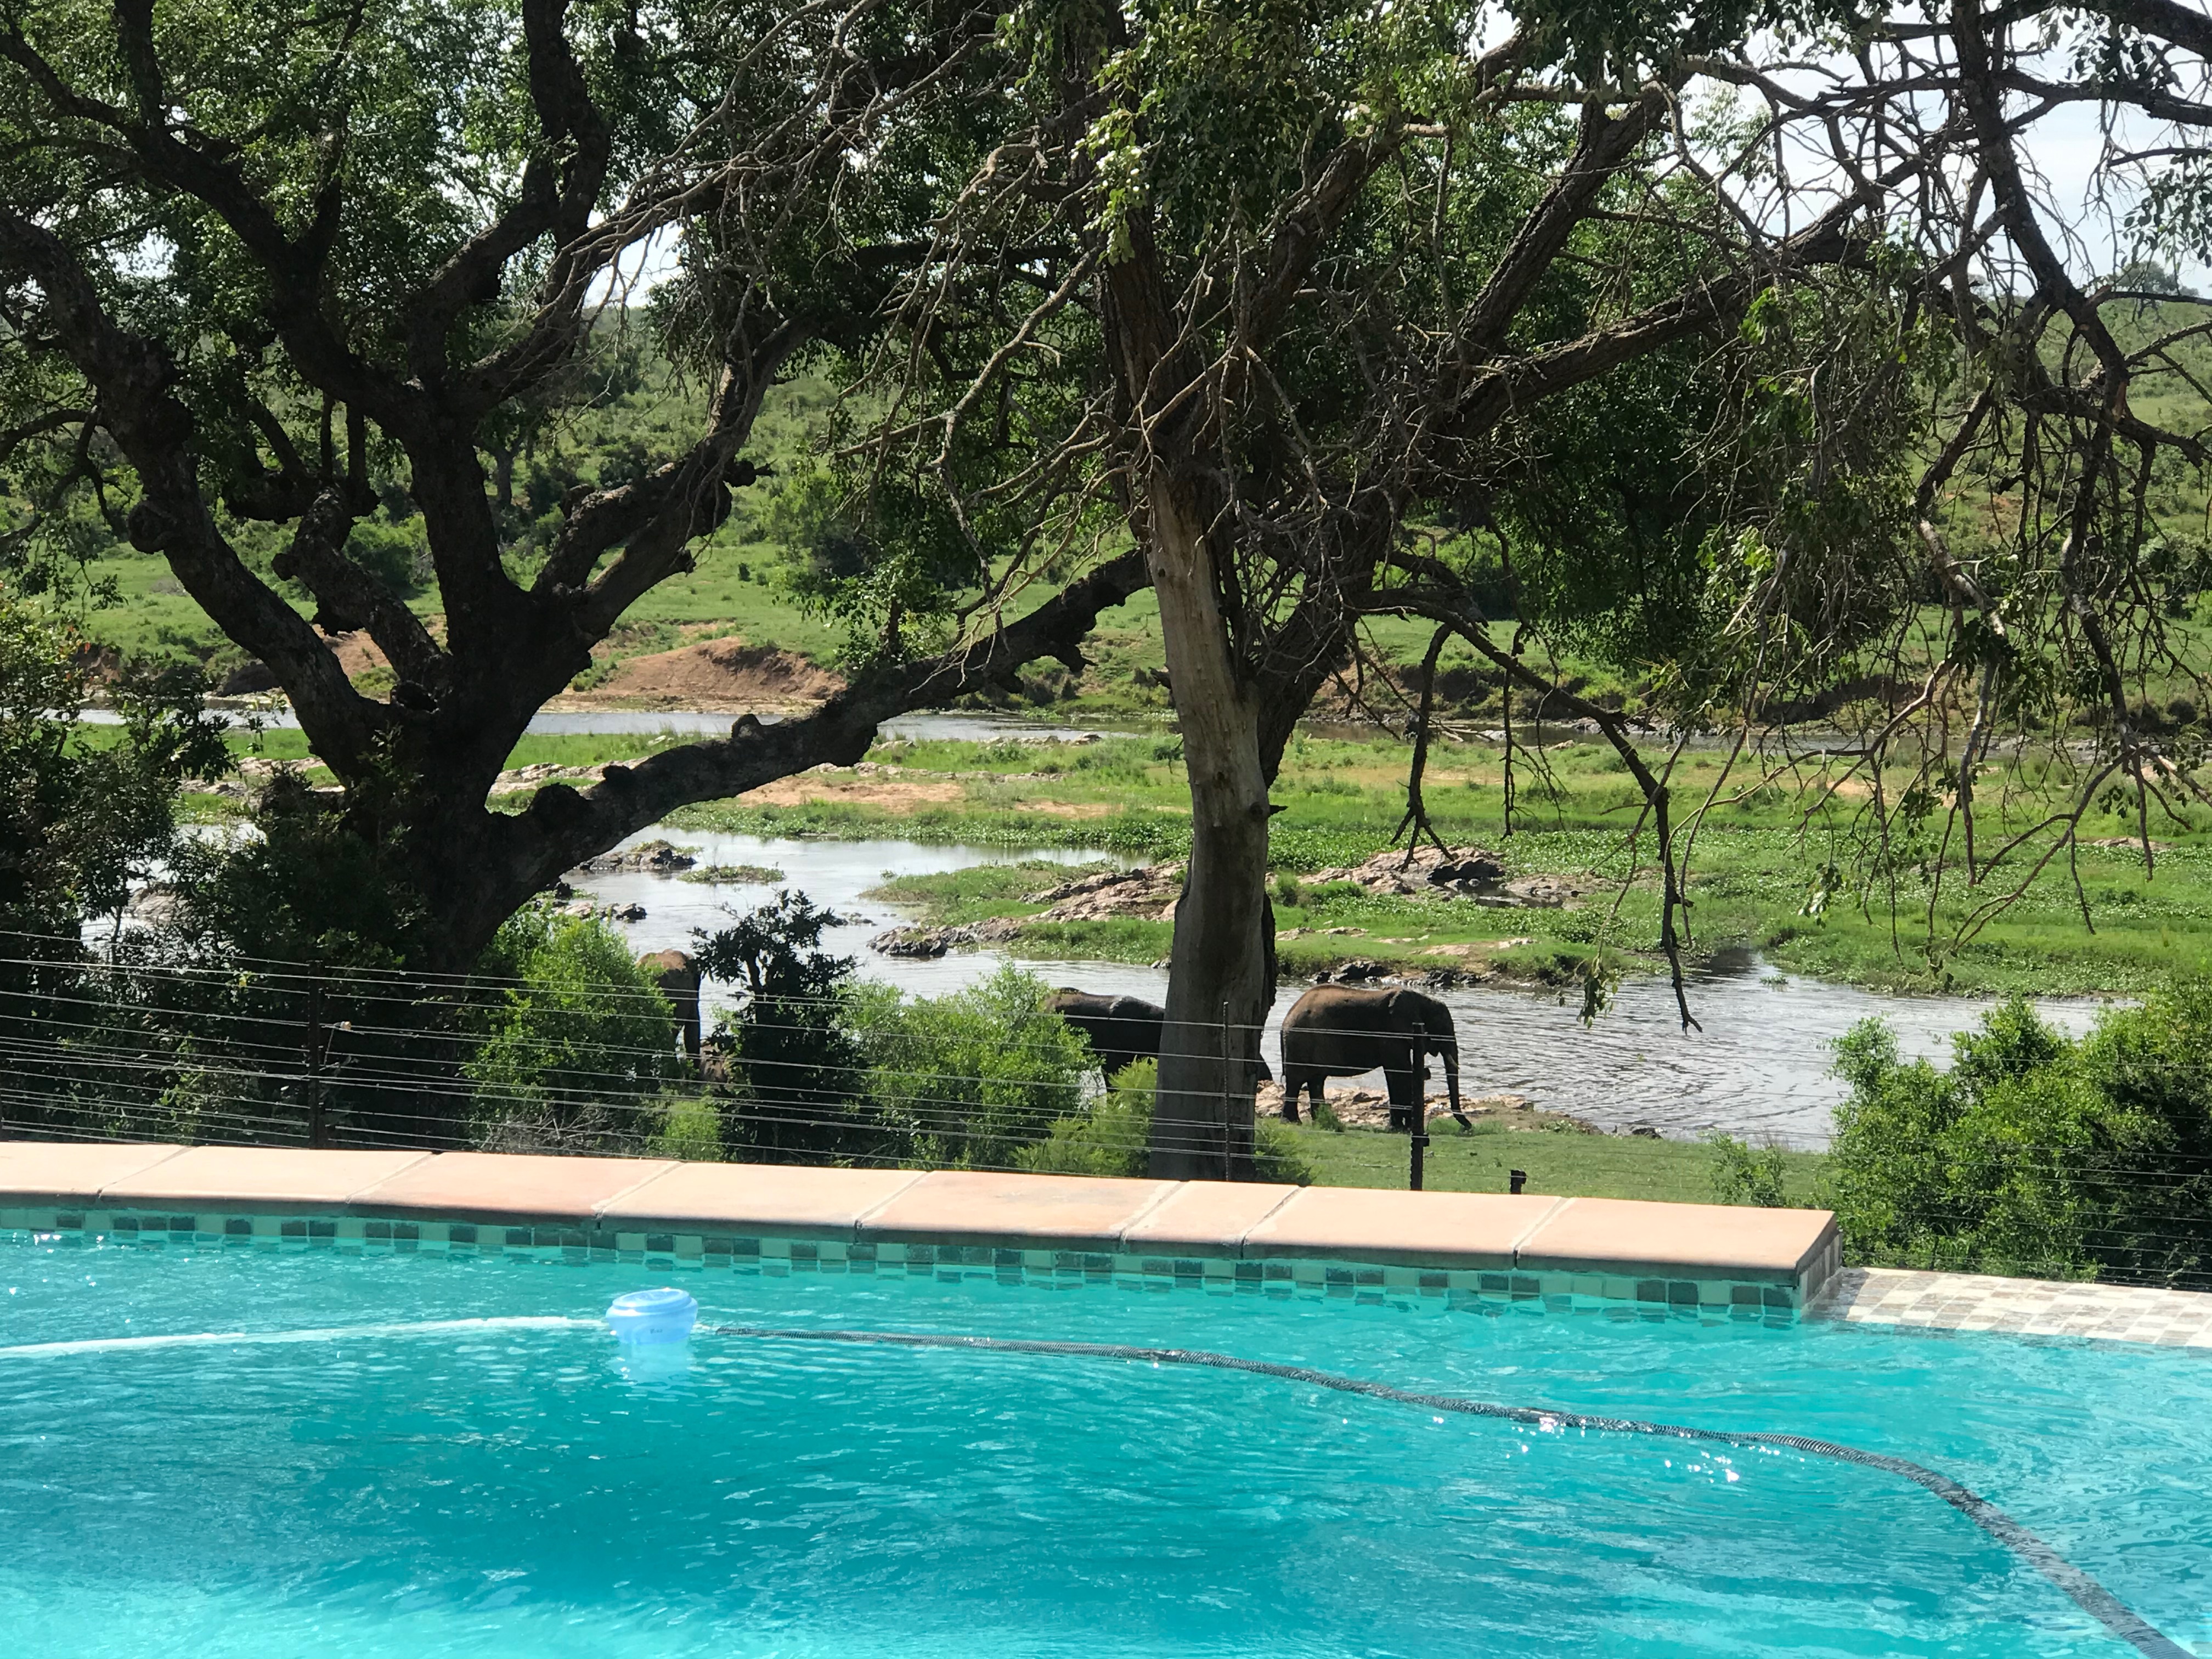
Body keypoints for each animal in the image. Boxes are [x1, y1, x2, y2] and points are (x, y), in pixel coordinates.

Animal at [1278, 984, 1464, 1131]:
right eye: (1442, 1026)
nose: (1467, 1128)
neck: (1420, 999)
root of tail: (1286, 1020)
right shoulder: (1391, 1034)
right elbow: (1398, 1071)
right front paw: (1400, 1129)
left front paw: (1400, 1127)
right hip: (1300, 1041)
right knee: (1296, 1081)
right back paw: (1293, 1122)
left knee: (1316, 1081)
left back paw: (1317, 1121)